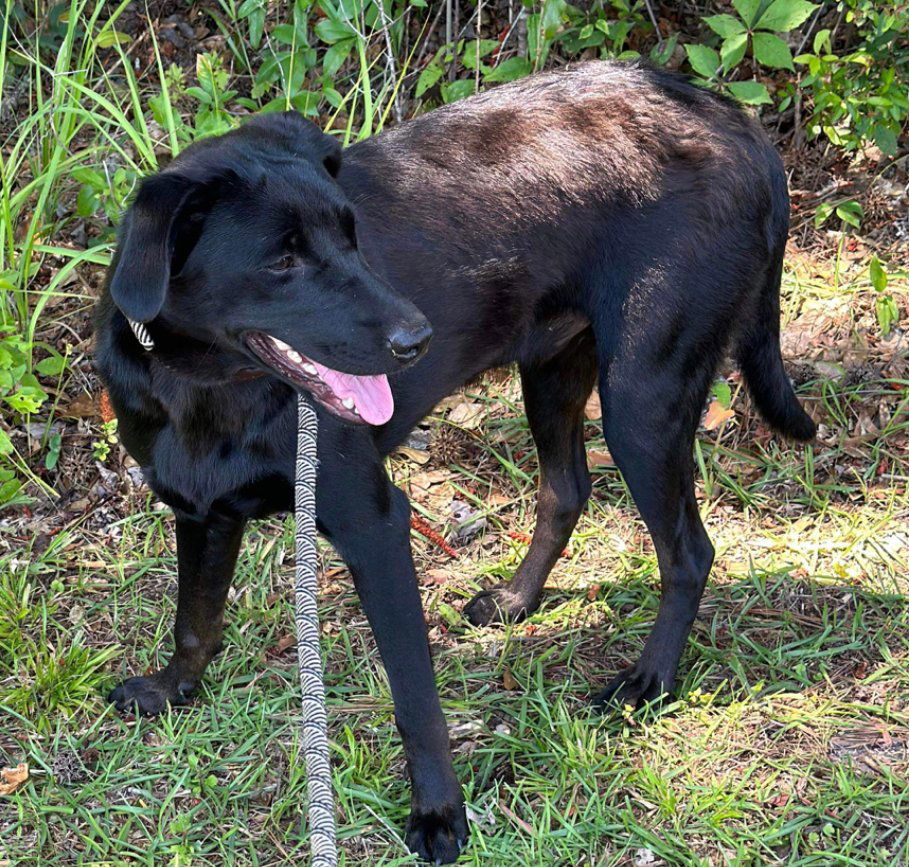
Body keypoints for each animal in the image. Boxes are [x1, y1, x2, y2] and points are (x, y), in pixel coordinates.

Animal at [97, 61, 816, 860]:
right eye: (280, 261)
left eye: (352, 236)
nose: (417, 339)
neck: (206, 389)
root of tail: (736, 125)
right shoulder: (201, 513)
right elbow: (193, 617)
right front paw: (171, 689)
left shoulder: (375, 526)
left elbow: (415, 696)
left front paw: (439, 812)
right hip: (553, 369)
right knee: (566, 490)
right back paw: (516, 601)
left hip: (642, 400)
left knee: (688, 550)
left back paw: (649, 680)